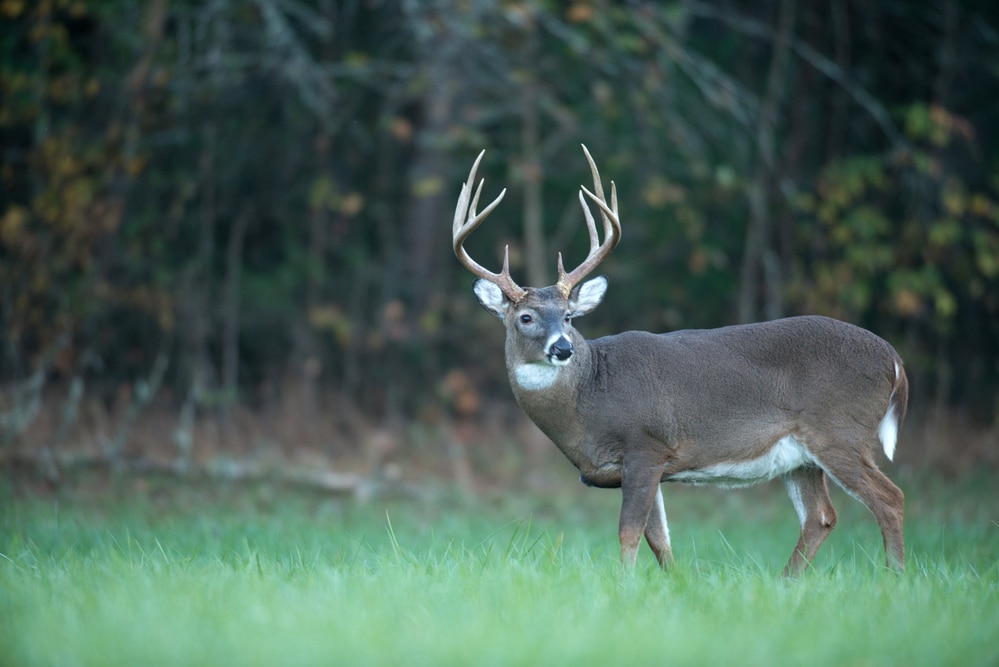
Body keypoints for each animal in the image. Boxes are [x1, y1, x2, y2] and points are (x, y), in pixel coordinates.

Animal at [451, 145, 907, 575]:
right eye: (526, 317)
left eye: (568, 316)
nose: (563, 348)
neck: (588, 397)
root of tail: (894, 359)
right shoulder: (641, 466)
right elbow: (660, 540)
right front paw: (672, 585)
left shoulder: (647, 445)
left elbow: (629, 532)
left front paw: (625, 585)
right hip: (802, 455)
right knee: (821, 517)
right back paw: (788, 582)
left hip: (840, 430)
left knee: (890, 498)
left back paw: (893, 577)